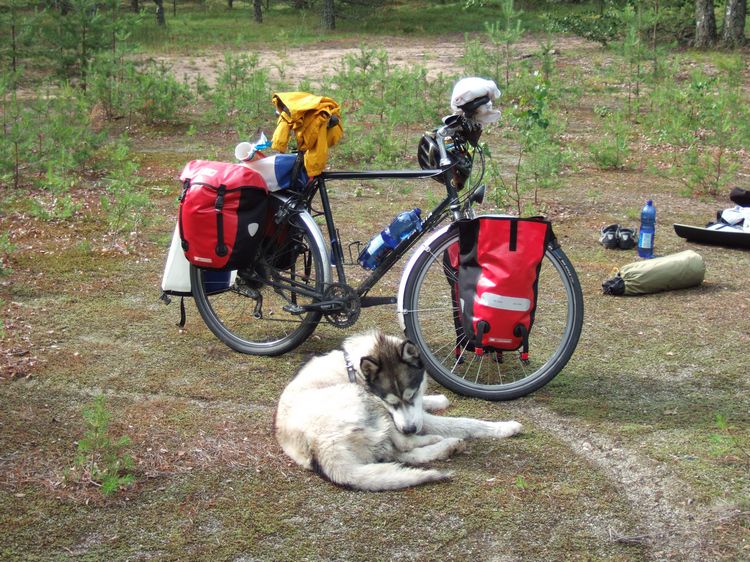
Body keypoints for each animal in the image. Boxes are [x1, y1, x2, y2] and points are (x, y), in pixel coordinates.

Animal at [274, 330, 524, 488]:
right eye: (391, 401)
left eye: (410, 395)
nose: (410, 429)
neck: (357, 368)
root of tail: (317, 449)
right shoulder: (389, 409)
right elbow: (464, 423)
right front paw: (505, 428)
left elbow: (425, 407)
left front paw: (437, 399)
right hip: (363, 401)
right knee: (403, 446)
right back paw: (439, 441)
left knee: (399, 455)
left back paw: (444, 447)